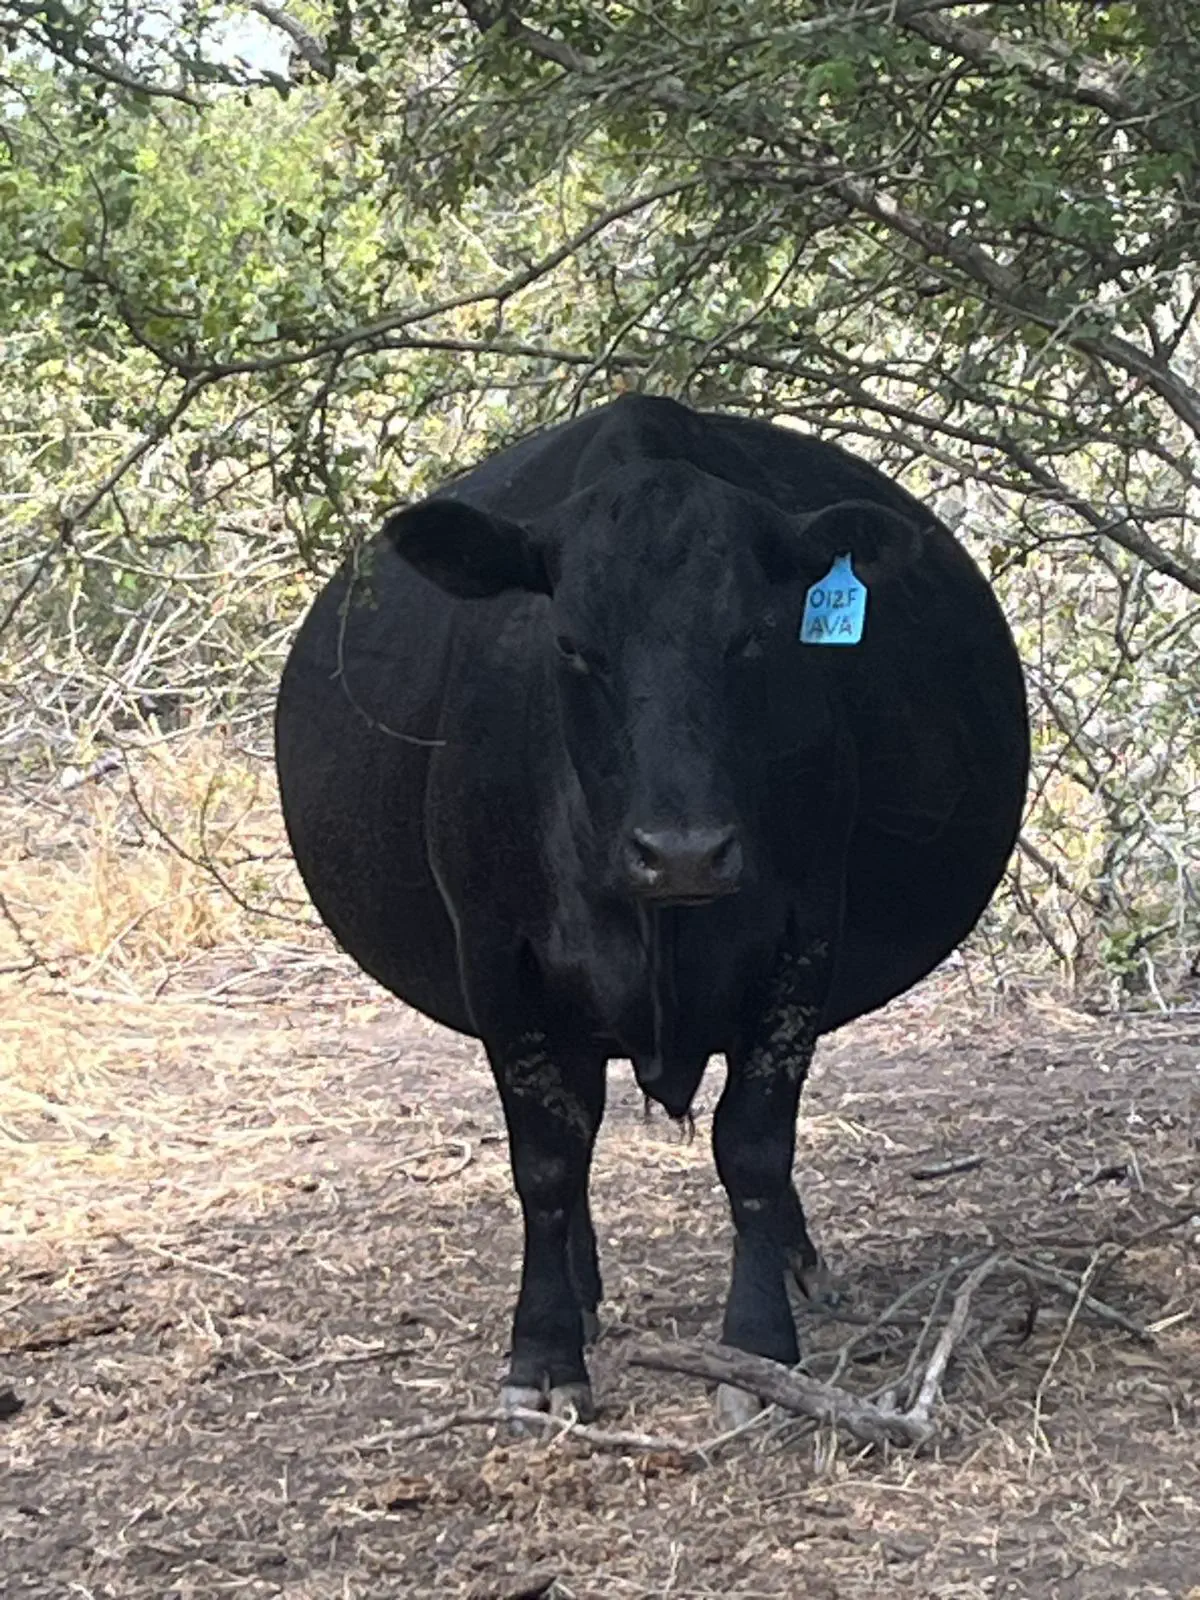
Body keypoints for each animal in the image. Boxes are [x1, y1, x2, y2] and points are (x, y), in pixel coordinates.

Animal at [275, 393, 1028, 1424]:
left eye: (754, 635)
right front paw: (543, 1354)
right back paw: (585, 1293)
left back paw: (792, 1265)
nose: (682, 852)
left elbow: (753, 1146)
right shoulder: (496, 957)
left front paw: (757, 1350)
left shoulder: (803, 939)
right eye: (569, 644)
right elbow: (548, 1159)